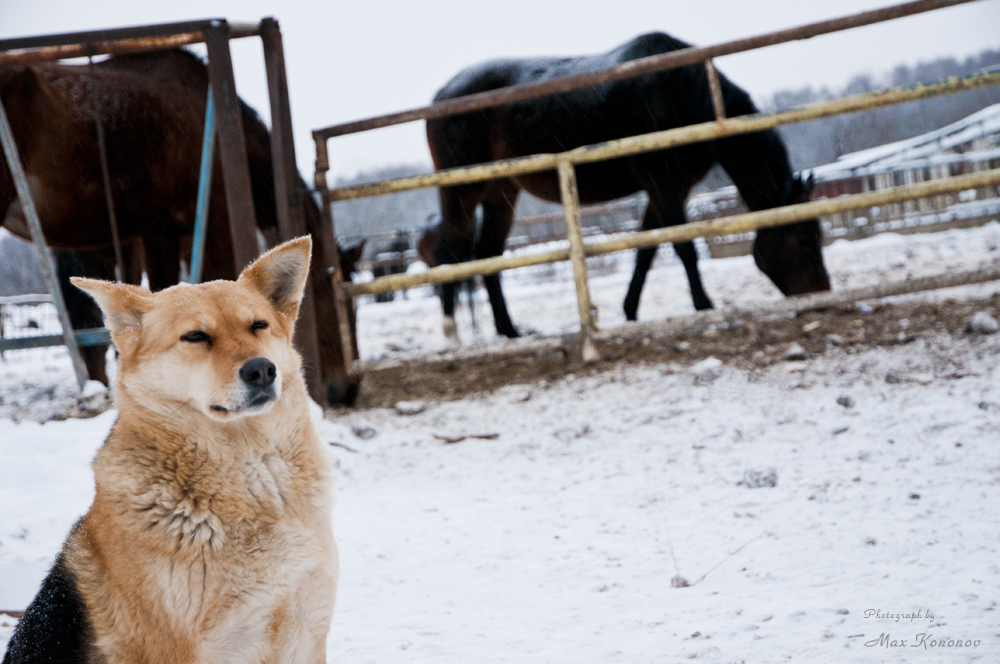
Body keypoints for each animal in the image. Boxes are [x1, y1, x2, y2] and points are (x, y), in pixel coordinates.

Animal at [418, 31, 832, 340]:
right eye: (803, 240)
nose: (822, 297)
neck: (684, 92)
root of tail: (441, 96)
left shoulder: (668, 189)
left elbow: (646, 250)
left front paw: (630, 310)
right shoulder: (664, 186)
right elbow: (684, 248)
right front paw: (704, 305)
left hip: (502, 192)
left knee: (488, 255)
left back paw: (510, 330)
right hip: (462, 191)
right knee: (451, 251)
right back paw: (452, 333)